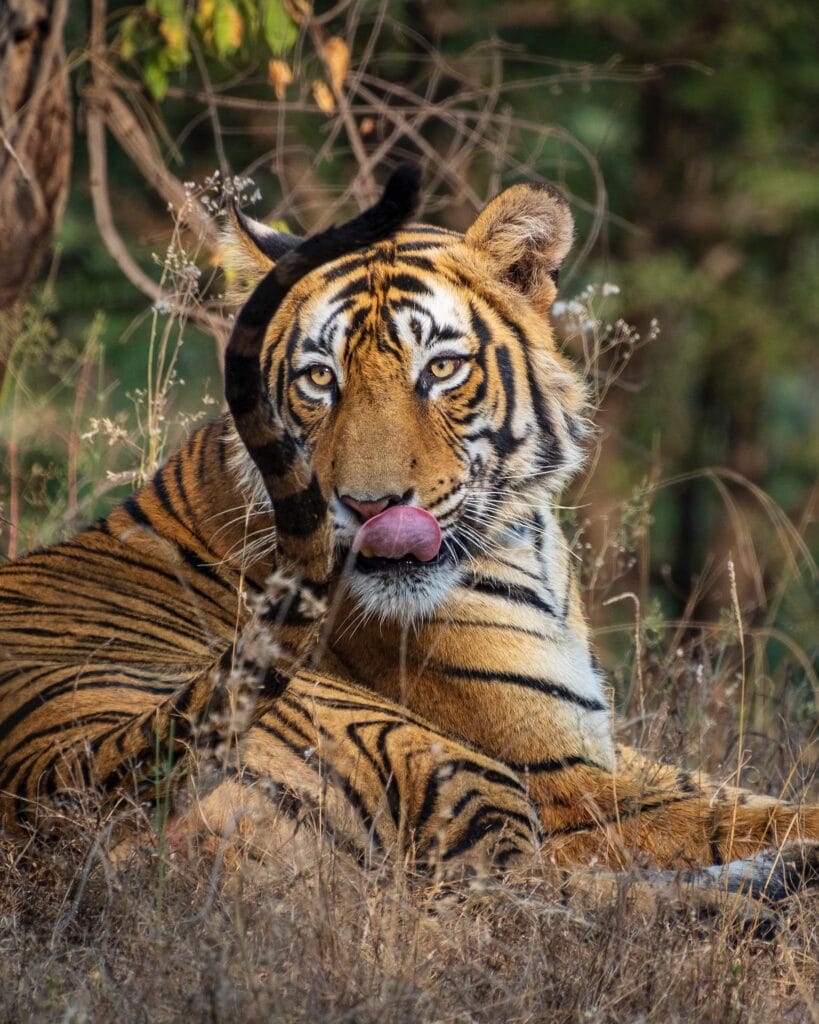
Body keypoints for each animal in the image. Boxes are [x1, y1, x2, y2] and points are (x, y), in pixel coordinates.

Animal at [1, 165, 817, 916]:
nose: (370, 507)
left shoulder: (596, 742)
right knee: (520, 906)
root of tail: (65, 775)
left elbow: (738, 791)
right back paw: (769, 891)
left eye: (443, 369)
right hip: (420, 752)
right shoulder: (559, 776)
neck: (528, 544)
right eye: (319, 379)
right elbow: (723, 816)